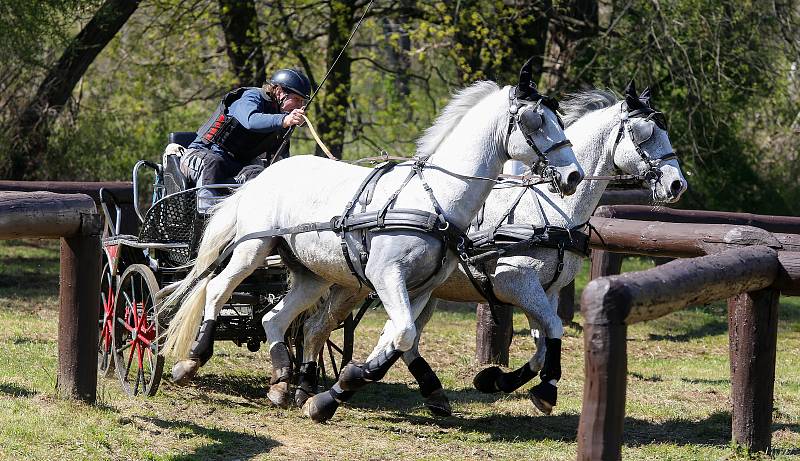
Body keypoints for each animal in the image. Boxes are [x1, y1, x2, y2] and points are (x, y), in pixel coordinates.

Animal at [162, 73, 584, 414]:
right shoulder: (386, 276)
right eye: (534, 120)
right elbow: (403, 334)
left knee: (276, 319)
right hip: (254, 248)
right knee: (217, 289)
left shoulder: (421, 288)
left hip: (311, 273)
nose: (573, 176)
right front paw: (333, 395)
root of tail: (266, 174)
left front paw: (330, 395)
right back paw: (191, 361)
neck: (434, 198)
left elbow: (398, 338)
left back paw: (282, 381)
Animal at [300, 81, 688, 418]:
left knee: (387, 335)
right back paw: (309, 388)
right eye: (645, 133)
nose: (677, 184)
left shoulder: (546, 291)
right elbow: (553, 331)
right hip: (354, 282)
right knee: (322, 328)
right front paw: (544, 389)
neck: (550, 208)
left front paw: (497, 380)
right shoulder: (514, 282)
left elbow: (543, 343)